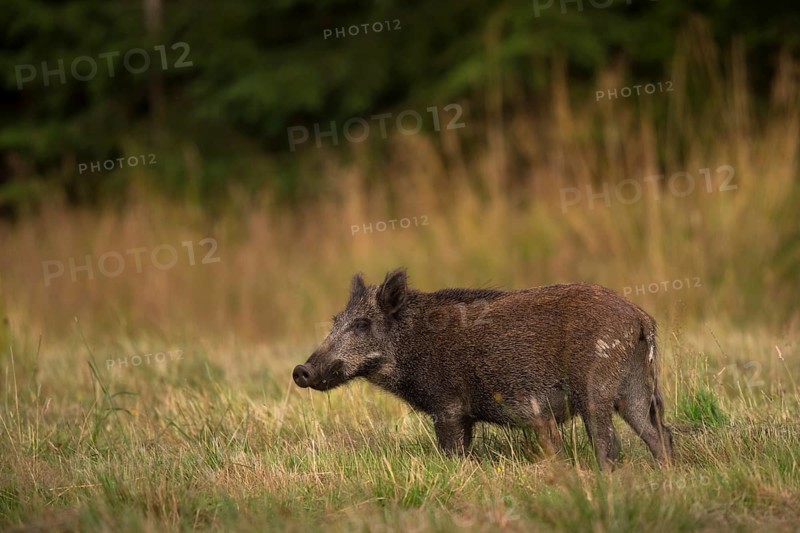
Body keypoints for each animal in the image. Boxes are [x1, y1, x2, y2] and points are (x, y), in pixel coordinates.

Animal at [293, 268, 673, 469]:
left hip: (593, 388)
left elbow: (453, 452)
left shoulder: (448, 407)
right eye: (336, 321)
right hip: (633, 390)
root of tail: (640, 318)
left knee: (610, 443)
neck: (411, 345)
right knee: (659, 434)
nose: (301, 371)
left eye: (362, 324)